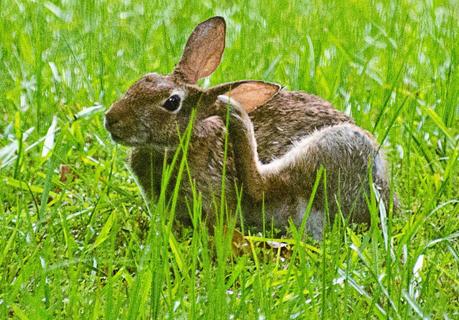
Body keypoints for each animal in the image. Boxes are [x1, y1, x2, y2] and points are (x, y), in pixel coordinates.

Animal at [106, 16, 394, 238]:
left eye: (172, 102)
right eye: (145, 78)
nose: (110, 119)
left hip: (335, 146)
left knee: (261, 184)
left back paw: (232, 112)